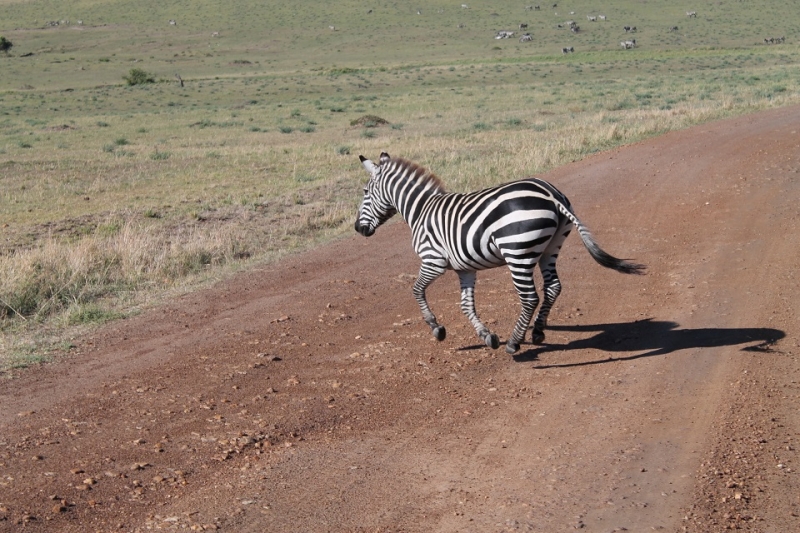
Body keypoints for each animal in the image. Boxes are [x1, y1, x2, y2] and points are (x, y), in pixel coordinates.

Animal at [354, 153, 644, 354]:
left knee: (530, 297)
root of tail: (551, 194)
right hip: (551, 247)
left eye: (366, 192)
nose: (357, 228)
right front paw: (487, 336)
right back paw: (537, 331)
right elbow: (465, 305)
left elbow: (416, 290)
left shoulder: (432, 260)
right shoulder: (465, 268)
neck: (420, 210)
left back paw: (515, 343)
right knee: (553, 287)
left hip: (517, 252)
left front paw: (437, 328)